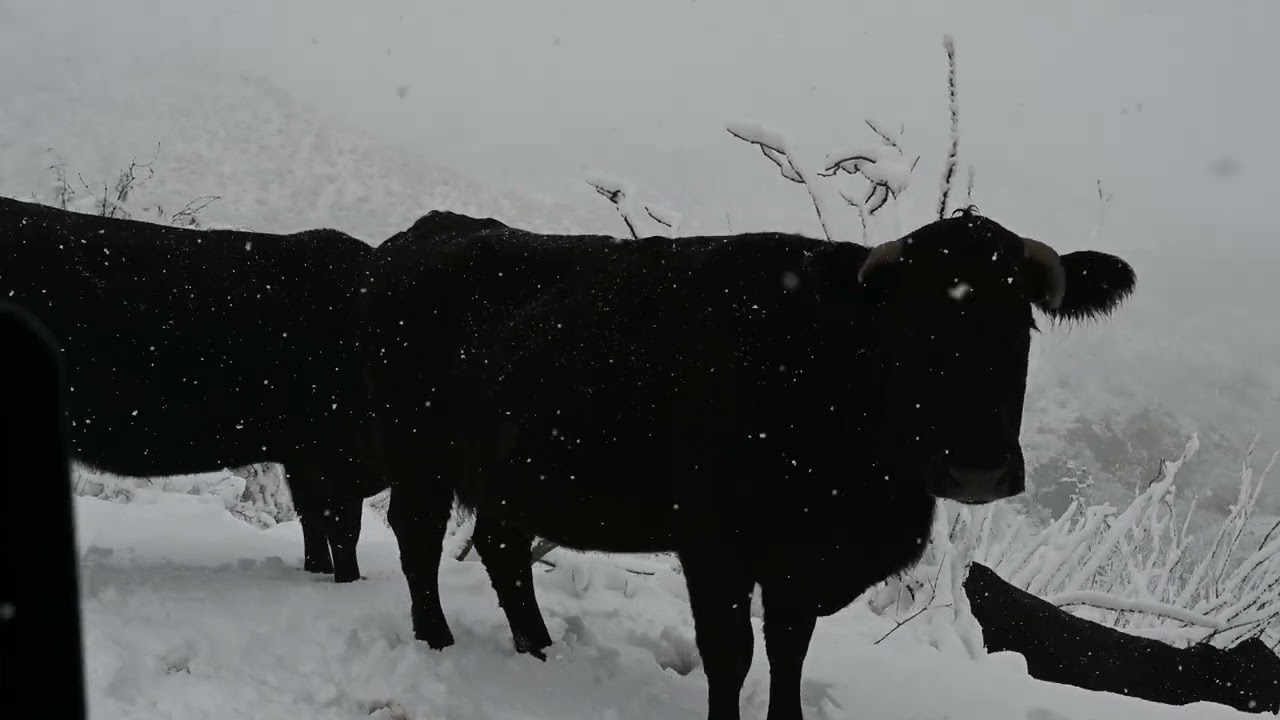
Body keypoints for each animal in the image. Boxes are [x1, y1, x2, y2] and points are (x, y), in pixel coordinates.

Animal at [0, 195, 384, 583]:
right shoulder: (336, 450)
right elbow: (342, 530)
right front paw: (349, 582)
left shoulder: (303, 454)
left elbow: (314, 522)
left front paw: (317, 573)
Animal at [361, 207, 1136, 720]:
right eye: (909, 324)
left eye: (1024, 322)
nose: (976, 469)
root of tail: (431, 228)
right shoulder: (716, 541)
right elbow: (730, 652)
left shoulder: (802, 560)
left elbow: (789, 651)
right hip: (420, 455)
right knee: (418, 535)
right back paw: (436, 636)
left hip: (512, 476)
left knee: (500, 545)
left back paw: (540, 649)